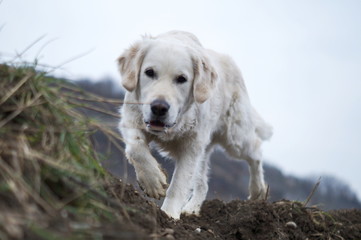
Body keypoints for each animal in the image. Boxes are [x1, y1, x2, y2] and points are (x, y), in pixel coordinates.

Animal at [116, 30, 272, 219]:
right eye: (149, 72)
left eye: (182, 79)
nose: (159, 108)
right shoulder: (131, 117)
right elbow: (136, 148)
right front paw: (153, 182)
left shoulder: (191, 146)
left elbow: (178, 184)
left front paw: (169, 215)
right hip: (205, 151)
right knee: (203, 184)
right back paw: (192, 209)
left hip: (235, 137)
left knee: (256, 150)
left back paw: (258, 190)